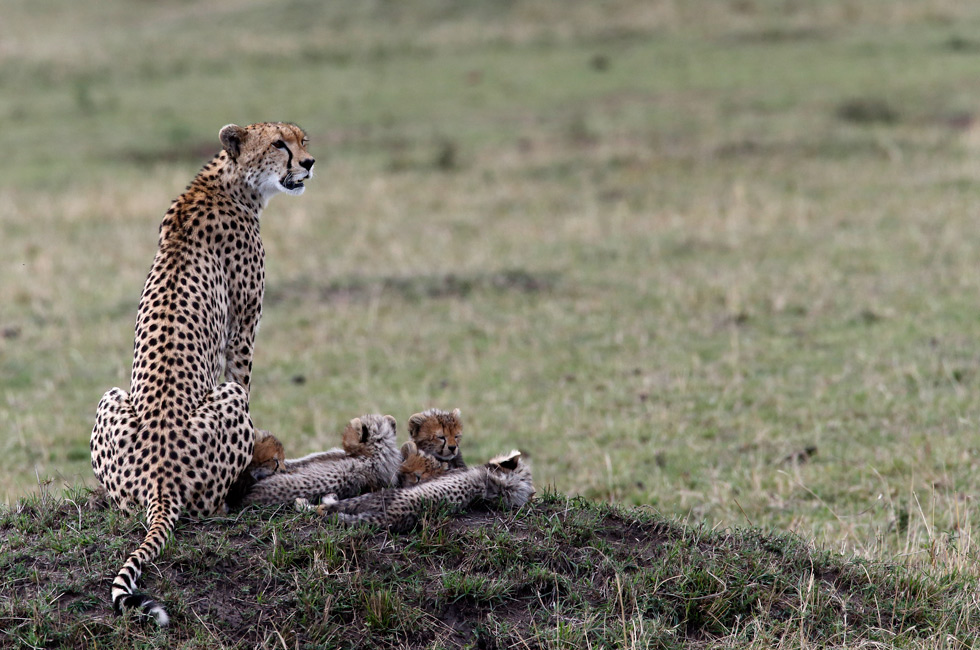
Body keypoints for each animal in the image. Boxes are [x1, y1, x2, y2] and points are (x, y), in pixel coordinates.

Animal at [89, 121, 314, 624]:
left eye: (303, 139)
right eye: (279, 144)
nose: (309, 163)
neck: (229, 183)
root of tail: (159, 478)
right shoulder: (243, 328)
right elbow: (248, 380)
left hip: (110, 399)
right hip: (224, 400)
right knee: (213, 502)